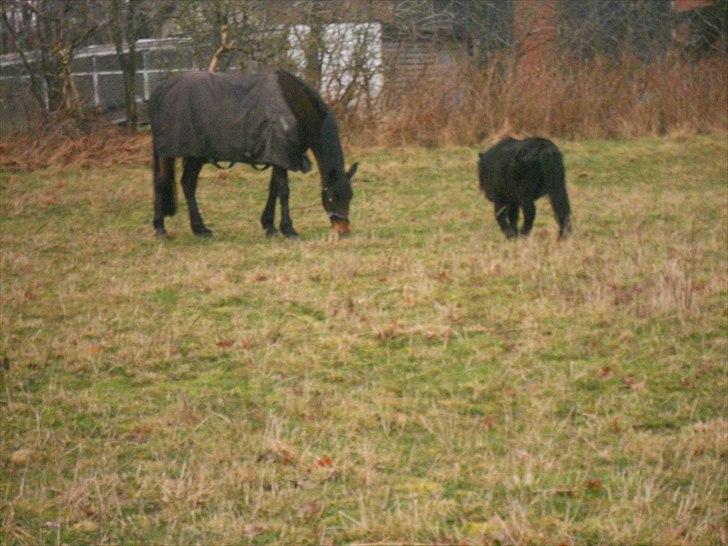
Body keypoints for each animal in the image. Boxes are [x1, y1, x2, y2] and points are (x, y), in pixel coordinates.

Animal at [146, 68, 356, 238]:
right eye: (332, 197)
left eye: (350, 196)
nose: (343, 231)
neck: (294, 106)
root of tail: (163, 89)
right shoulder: (281, 154)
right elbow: (284, 191)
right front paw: (288, 229)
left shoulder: (278, 156)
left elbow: (274, 189)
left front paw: (269, 226)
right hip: (172, 153)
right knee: (161, 183)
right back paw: (160, 229)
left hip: (195, 155)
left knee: (188, 184)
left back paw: (200, 229)